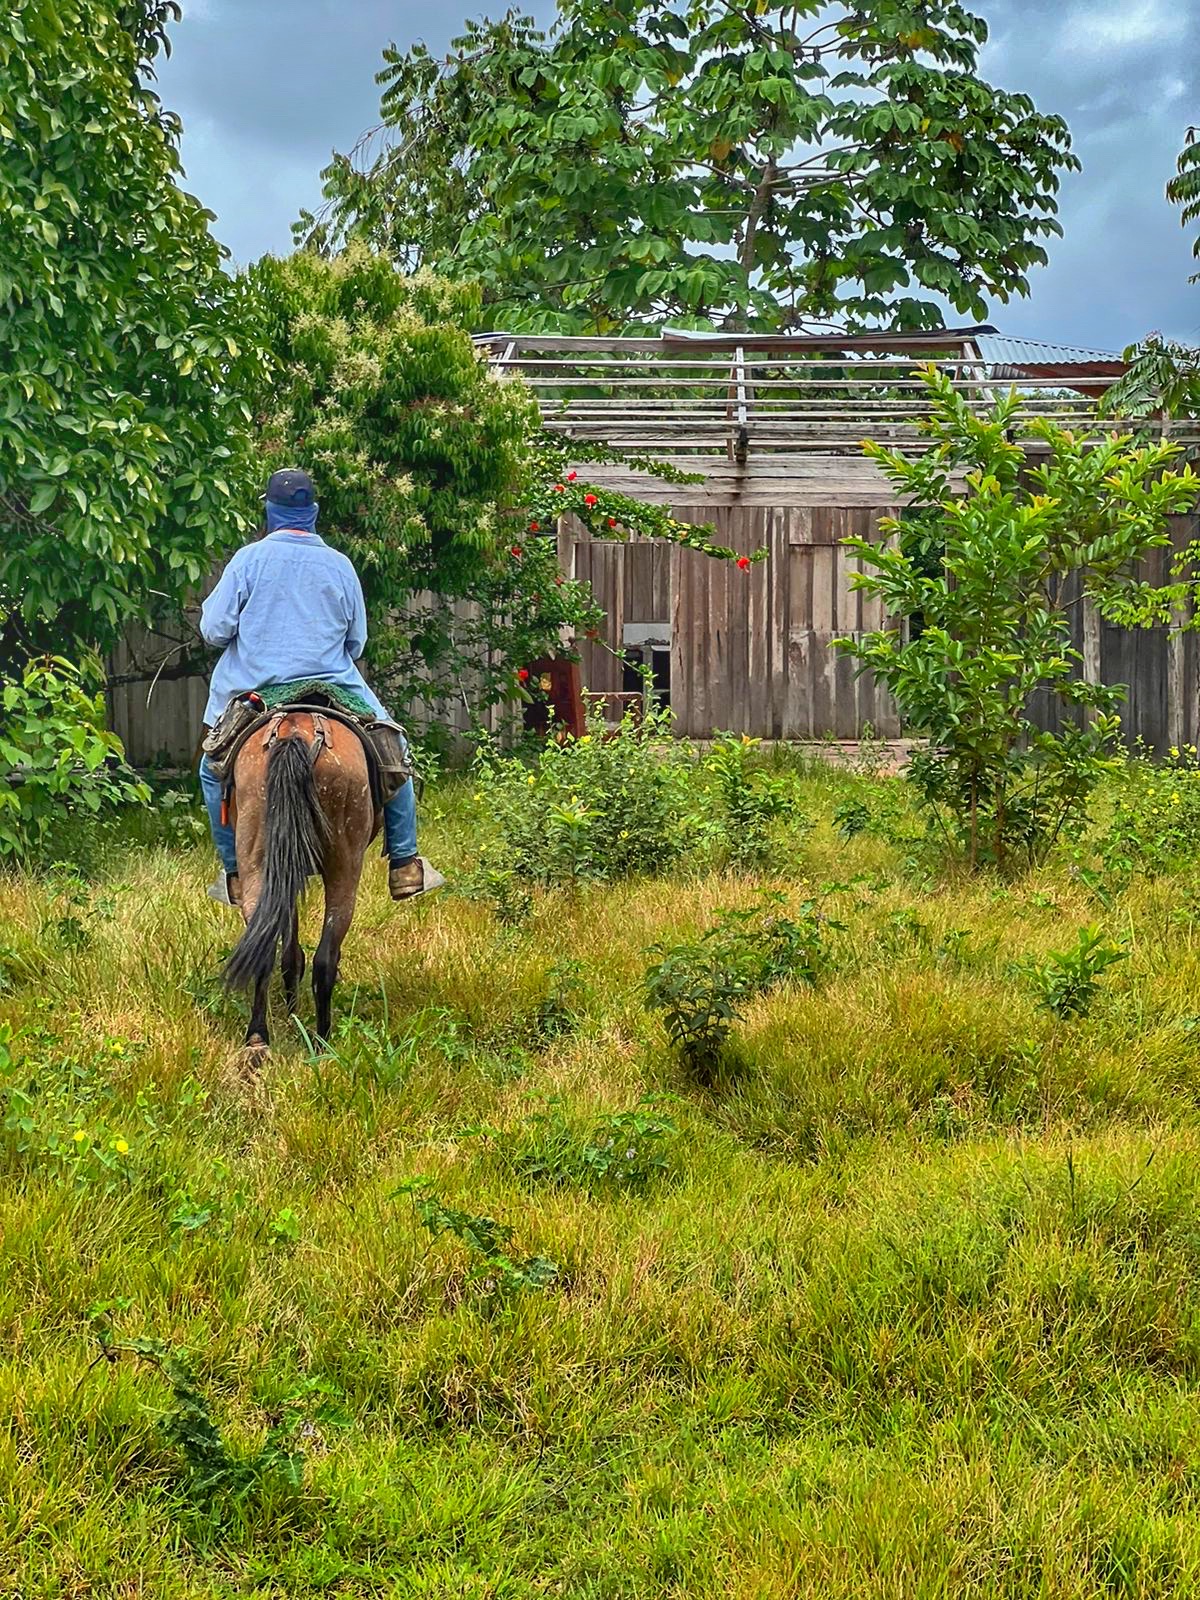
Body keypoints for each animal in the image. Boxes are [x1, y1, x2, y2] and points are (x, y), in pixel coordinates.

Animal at [224, 716, 377, 1049]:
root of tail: (295, 729)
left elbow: (290, 952)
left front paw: (291, 1010)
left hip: (258, 860)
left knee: (264, 949)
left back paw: (258, 1038)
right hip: (345, 867)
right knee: (326, 958)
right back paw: (322, 1041)